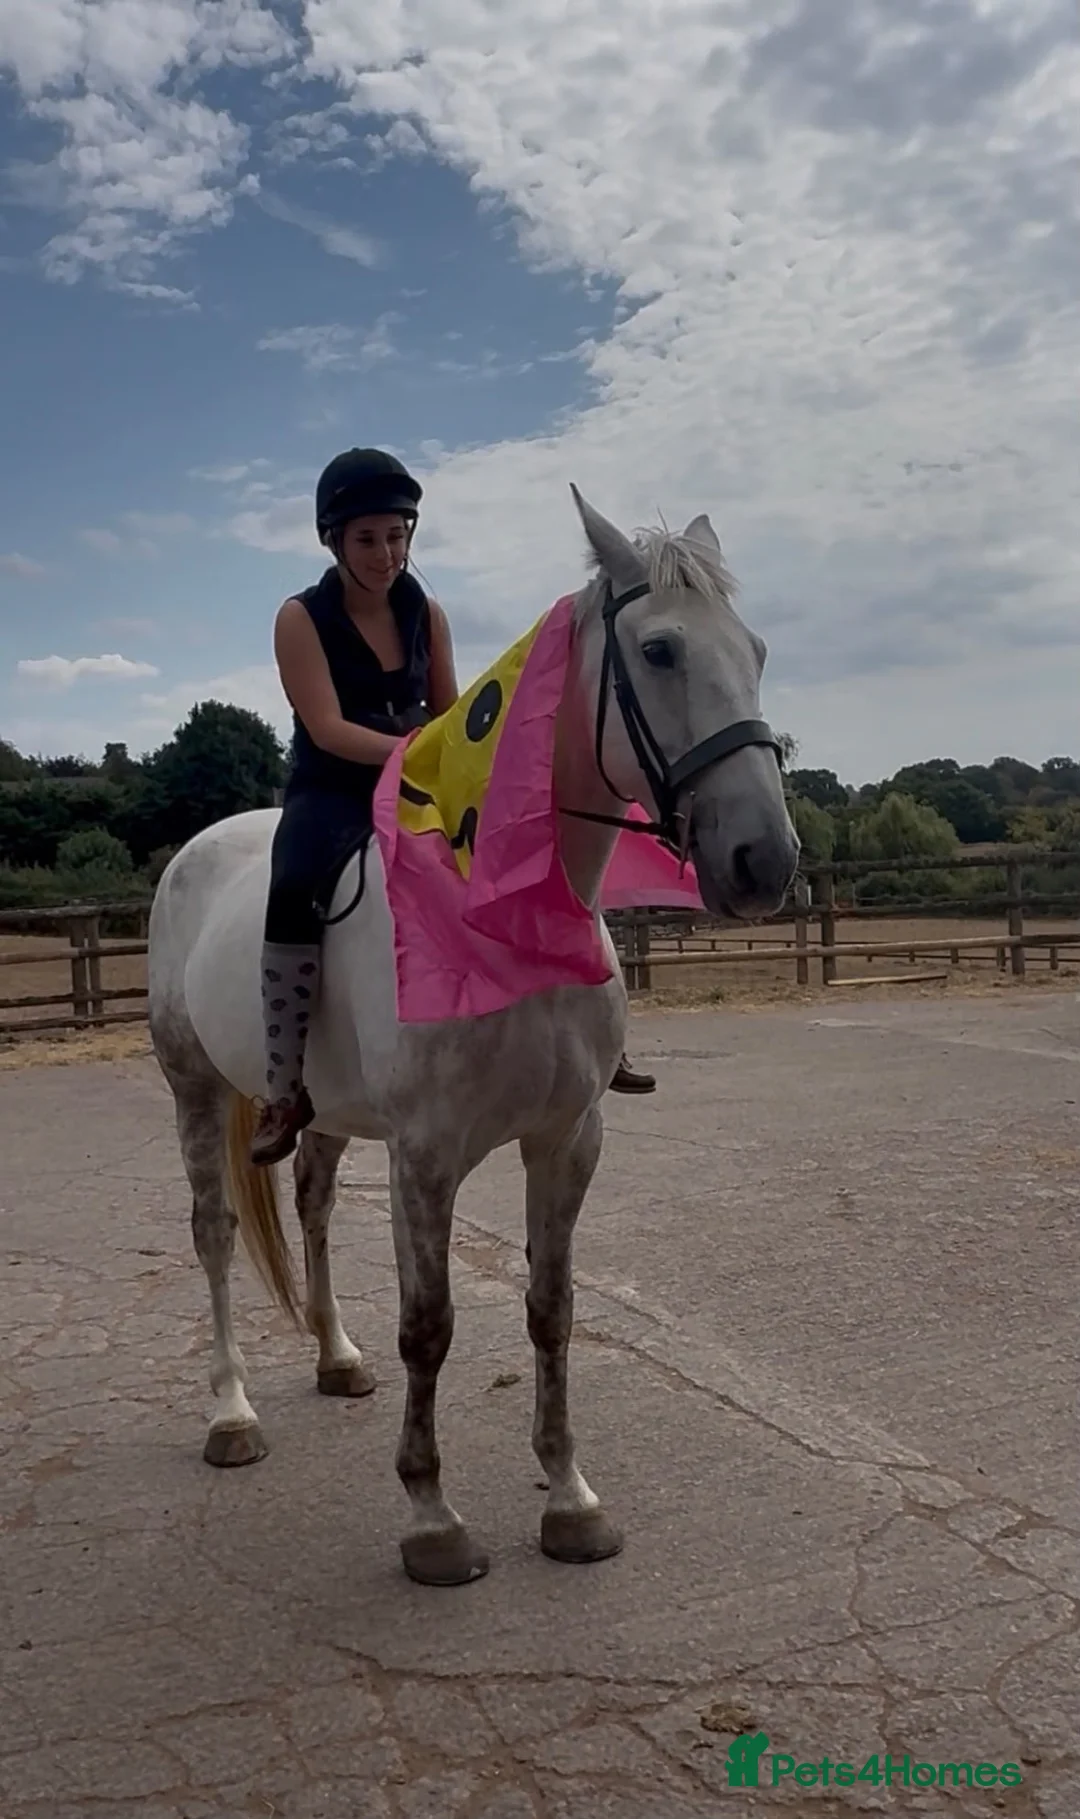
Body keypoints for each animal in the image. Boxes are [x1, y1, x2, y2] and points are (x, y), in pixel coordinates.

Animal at [146, 486, 800, 1586]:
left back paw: (335, 1355)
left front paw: (571, 1498)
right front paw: (432, 1517)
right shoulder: (426, 1156)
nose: (766, 859)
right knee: (215, 1232)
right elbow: (430, 1326)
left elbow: (552, 1307)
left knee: (314, 1206)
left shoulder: (567, 1139)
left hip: (326, 1113)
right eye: (660, 650)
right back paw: (230, 1413)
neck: (505, 923)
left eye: (753, 648)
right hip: (194, 1089)